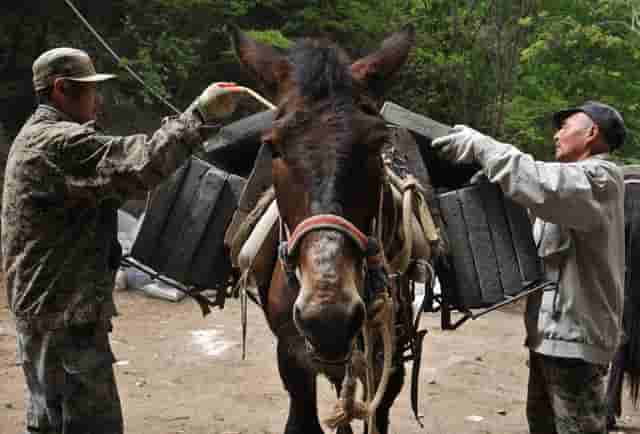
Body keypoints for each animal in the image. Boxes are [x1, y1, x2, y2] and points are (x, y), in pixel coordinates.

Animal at [231, 25, 420, 432]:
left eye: (377, 144)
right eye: (273, 148)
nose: (328, 317)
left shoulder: (392, 361)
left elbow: (377, 415)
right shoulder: (292, 356)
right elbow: (301, 420)